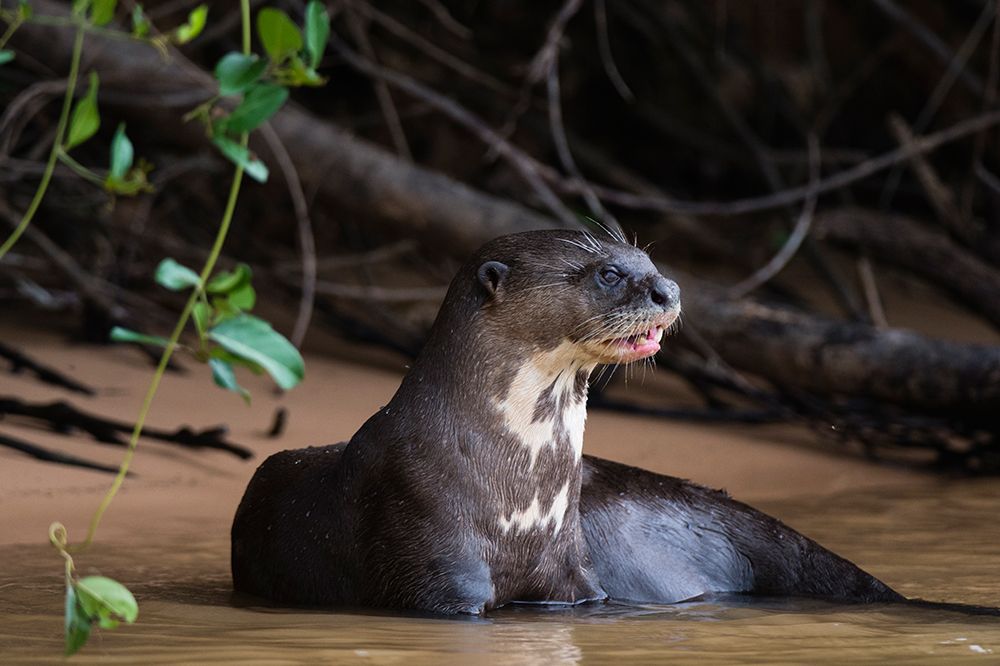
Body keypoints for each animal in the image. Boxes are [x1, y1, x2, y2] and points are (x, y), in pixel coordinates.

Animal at [231, 229, 903, 613]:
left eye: (646, 260)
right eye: (608, 272)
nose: (669, 289)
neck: (516, 486)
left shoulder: (571, 578)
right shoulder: (435, 567)